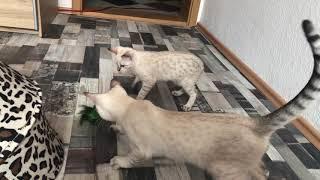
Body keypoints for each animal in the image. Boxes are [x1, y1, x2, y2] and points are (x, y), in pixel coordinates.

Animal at [84, 20, 318, 180]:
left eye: (121, 65)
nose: (117, 69)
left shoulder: (149, 82)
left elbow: (141, 94)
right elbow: (134, 85)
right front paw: (130, 91)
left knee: (195, 92)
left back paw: (187, 105)